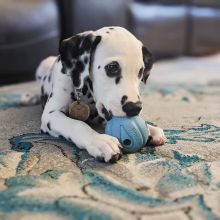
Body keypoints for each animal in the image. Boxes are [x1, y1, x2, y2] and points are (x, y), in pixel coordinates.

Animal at [35, 26, 166, 162]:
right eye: (112, 67)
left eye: (140, 71)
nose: (135, 108)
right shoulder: (51, 115)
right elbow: (77, 124)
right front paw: (100, 141)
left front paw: (150, 128)